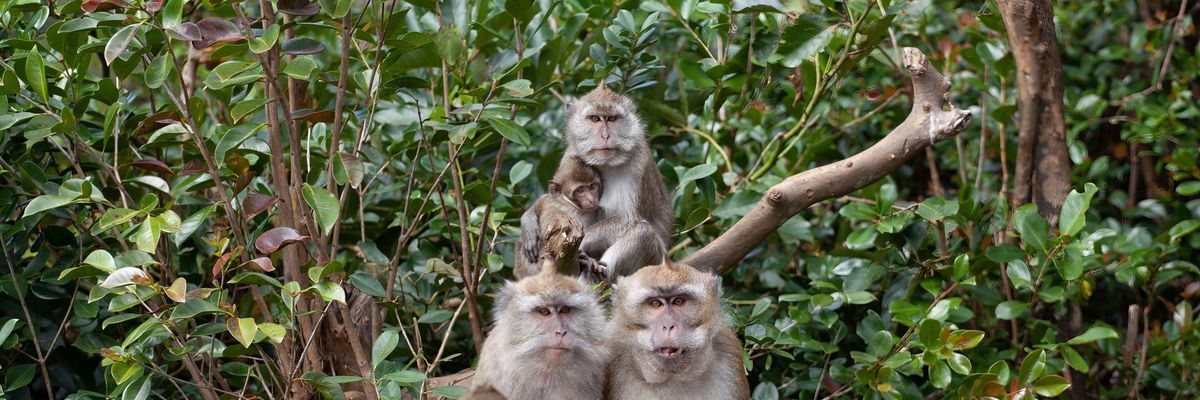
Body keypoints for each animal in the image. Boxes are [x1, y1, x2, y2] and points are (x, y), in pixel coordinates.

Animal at [520, 85, 673, 280]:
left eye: (612, 119)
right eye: (595, 118)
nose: (605, 135)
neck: (606, 165)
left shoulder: (639, 165)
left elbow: (629, 219)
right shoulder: (571, 155)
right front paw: (528, 220)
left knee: (644, 232)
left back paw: (599, 273)